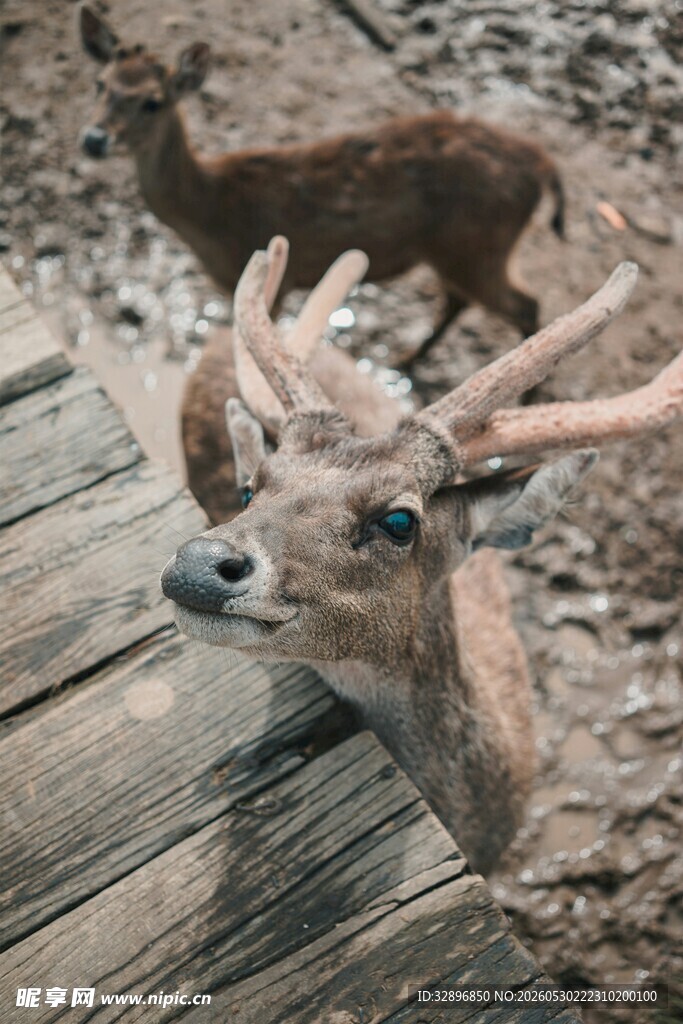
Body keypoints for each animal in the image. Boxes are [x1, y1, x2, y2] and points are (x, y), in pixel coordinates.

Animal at [78, 2, 565, 367]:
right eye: (100, 84)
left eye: (152, 102)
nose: (94, 138)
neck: (212, 212)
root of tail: (540, 163)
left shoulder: (276, 282)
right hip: (459, 249)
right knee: (459, 300)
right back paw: (406, 360)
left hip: (479, 246)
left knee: (527, 304)